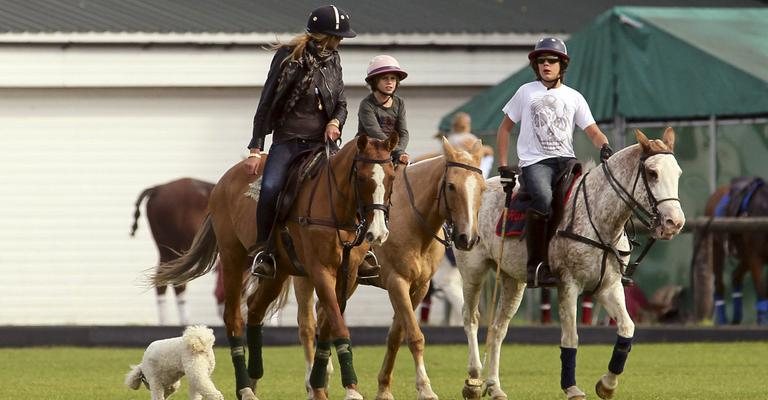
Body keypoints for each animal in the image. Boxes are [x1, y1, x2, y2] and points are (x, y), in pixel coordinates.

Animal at [154, 135, 400, 400]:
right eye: (362, 177)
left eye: (391, 176)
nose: (378, 233)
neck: (338, 211)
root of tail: (222, 182)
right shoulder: (320, 271)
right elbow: (338, 324)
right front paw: (349, 389)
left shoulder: (350, 275)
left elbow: (329, 325)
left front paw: (320, 385)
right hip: (232, 259)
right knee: (233, 317)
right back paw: (244, 388)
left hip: (278, 272)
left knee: (254, 308)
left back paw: (254, 377)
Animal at [294, 138, 486, 400]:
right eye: (451, 186)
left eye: (483, 189)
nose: (468, 238)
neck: (413, 219)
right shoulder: (397, 282)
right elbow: (415, 335)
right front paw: (425, 388)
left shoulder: (419, 287)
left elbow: (396, 335)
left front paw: (384, 388)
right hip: (306, 276)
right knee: (307, 324)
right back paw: (311, 383)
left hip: (347, 280)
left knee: (324, 314)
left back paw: (325, 374)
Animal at [456, 129, 684, 400]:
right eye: (652, 173)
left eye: (678, 172)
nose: (674, 223)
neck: (600, 219)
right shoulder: (568, 284)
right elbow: (571, 337)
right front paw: (572, 387)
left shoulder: (608, 286)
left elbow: (627, 328)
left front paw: (607, 385)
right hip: (473, 270)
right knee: (470, 318)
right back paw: (473, 380)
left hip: (513, 280)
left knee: (498, 329)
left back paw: (495, 387)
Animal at [704, 178, 768, 324]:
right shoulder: (755, 258)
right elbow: (762, 290)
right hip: (717, 249)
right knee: (719, 284)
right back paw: (722, 321)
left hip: (745, 255)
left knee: (735, 276)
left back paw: (736, 318)